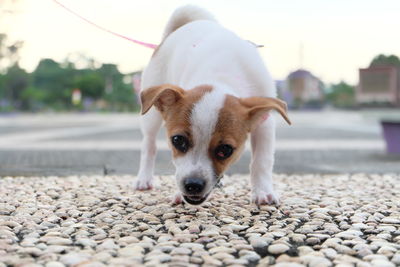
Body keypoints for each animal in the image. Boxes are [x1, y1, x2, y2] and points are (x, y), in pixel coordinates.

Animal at [134, 5, 290, 207]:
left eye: (226, 149)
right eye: (177, 140)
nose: (192, 185)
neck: (221, 76)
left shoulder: (264, 123)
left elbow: (261, 161)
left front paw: (263, 191)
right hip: (150, 116)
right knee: (149, 144)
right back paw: (144, 178)